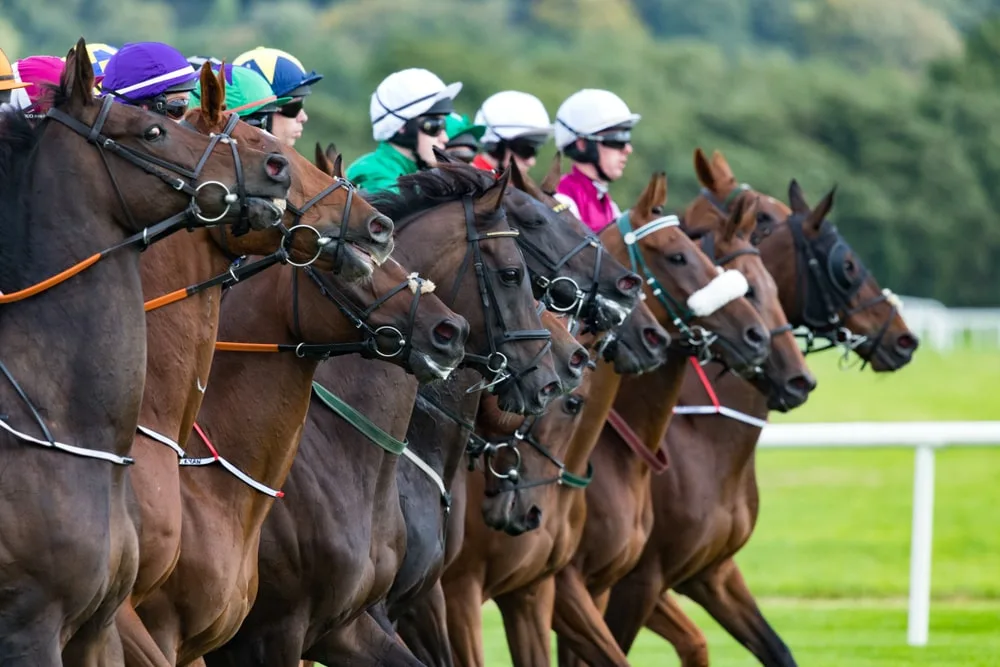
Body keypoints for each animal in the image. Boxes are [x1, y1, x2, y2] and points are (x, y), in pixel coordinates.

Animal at [596, 150, 916, 667]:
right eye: (846, 265)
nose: (904, 338)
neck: (698, 435)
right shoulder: (637, 580)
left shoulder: (710, 573)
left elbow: (762, 648)